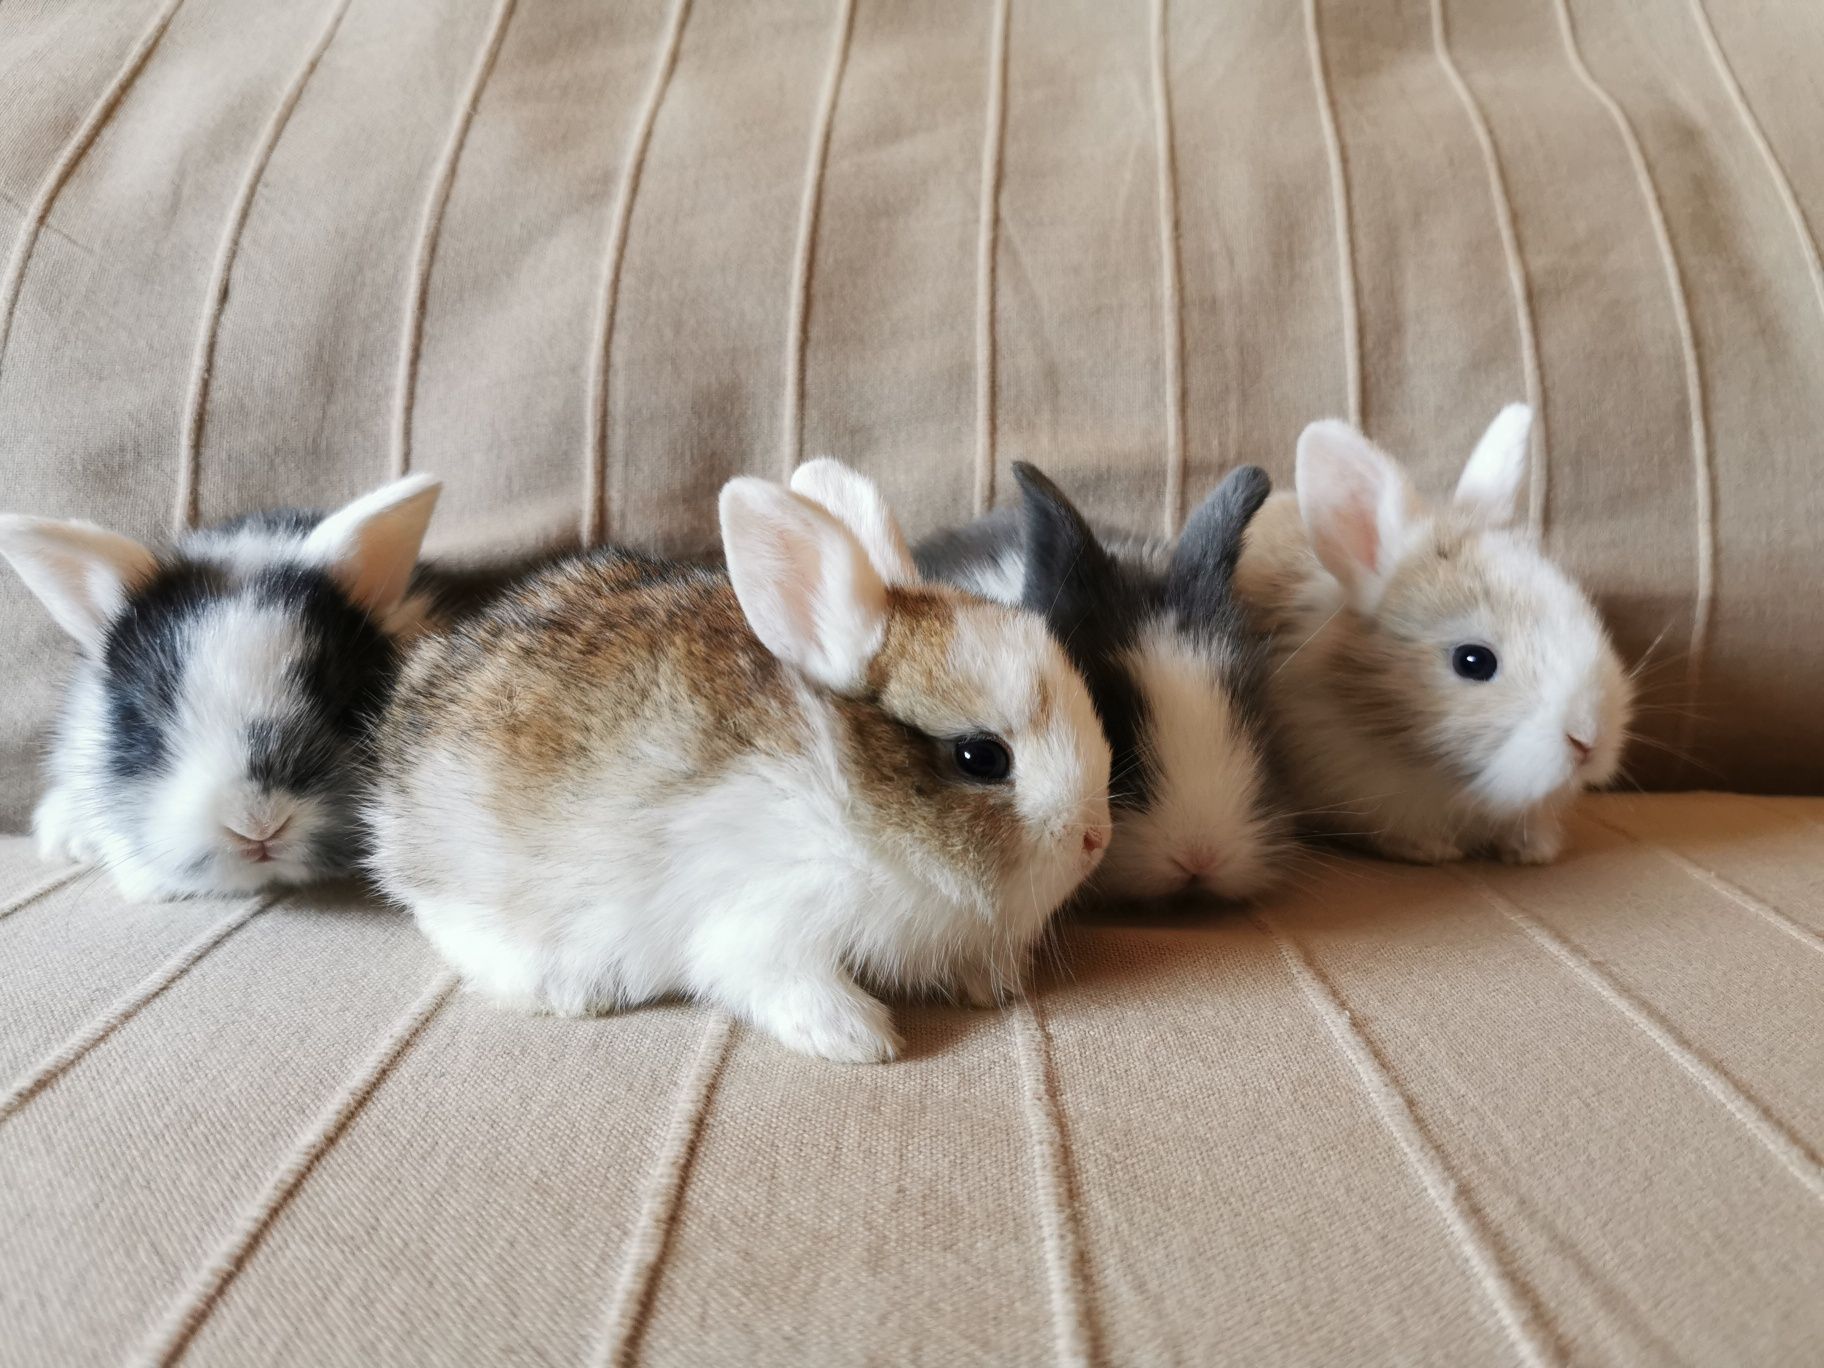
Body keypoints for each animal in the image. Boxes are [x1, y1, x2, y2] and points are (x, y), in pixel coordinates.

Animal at [364, 466, 1108, 1065]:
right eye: (981, 757)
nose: (1094, 840)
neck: (843, 792)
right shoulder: (766, 920)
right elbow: (781, 981)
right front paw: (859, 1039)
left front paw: (990, 987)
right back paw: (571, 991)